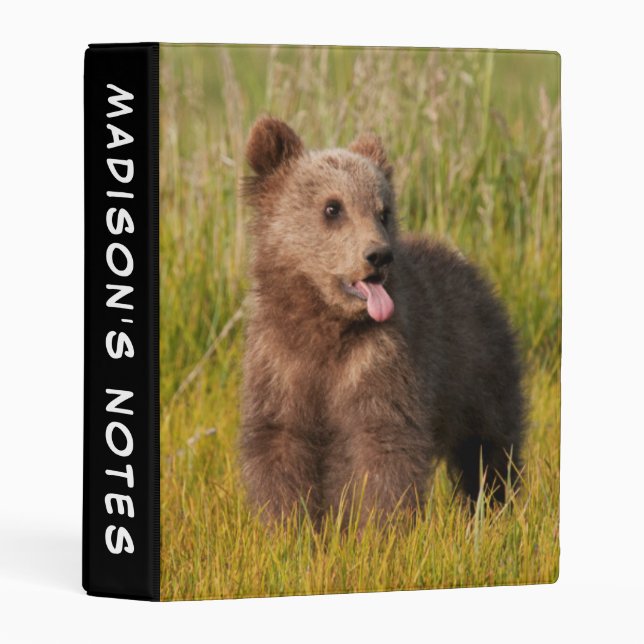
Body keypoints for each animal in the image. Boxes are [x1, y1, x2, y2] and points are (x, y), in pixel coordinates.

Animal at [239, 117, 524, 526]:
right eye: (332, 207)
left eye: (383, 211)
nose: (378, 255)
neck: (325, 323)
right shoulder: (280, 362)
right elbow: (279, 442)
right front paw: (287, 526)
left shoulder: (379, 360)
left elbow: (382, 446)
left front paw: (377, 528)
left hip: (477, 368)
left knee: (488, 447)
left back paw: (493, 507)